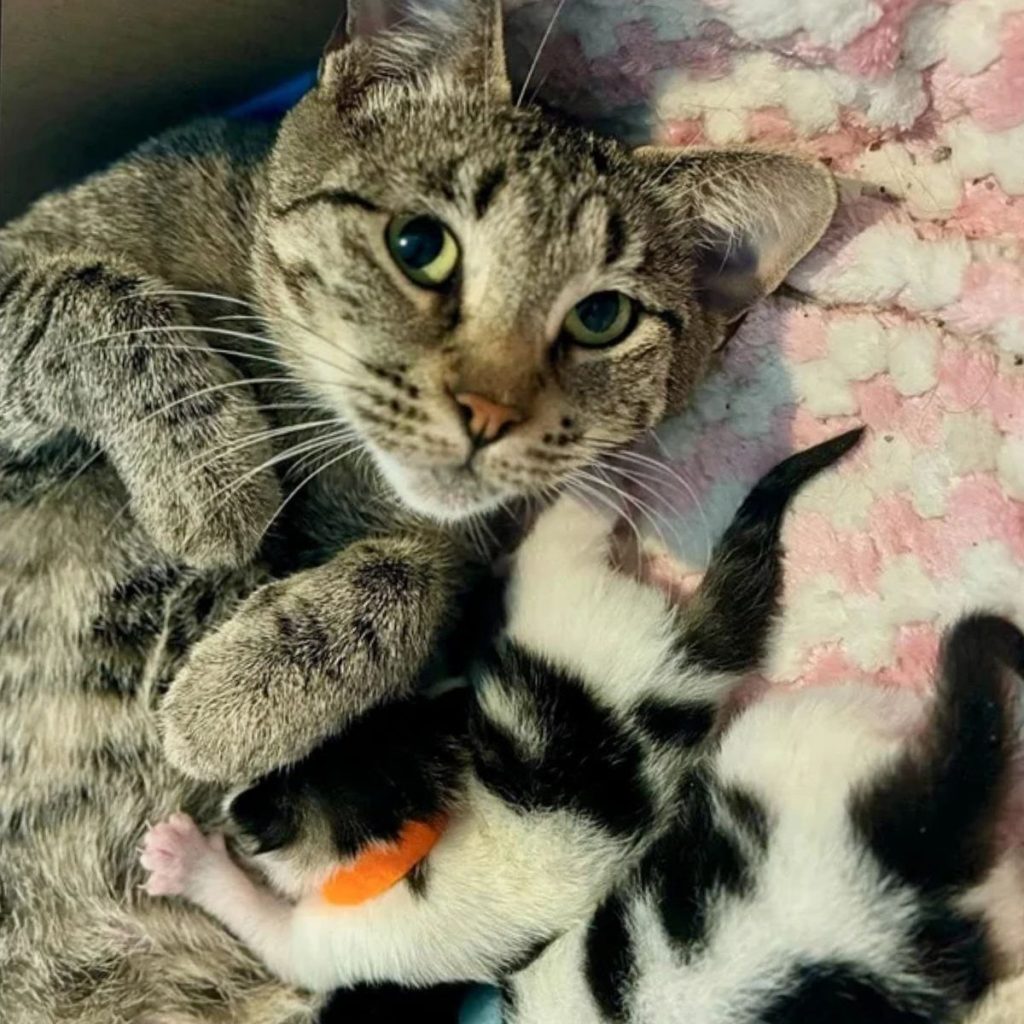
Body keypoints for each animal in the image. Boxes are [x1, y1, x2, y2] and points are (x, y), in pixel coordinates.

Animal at [0, 2, 831, 1024]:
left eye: (601, 317)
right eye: (419, 245)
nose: (489, 411)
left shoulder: (460, 553)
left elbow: (417, 571)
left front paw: (228, 698)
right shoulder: (29, 267)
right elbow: (90, 299)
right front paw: (211, 477)